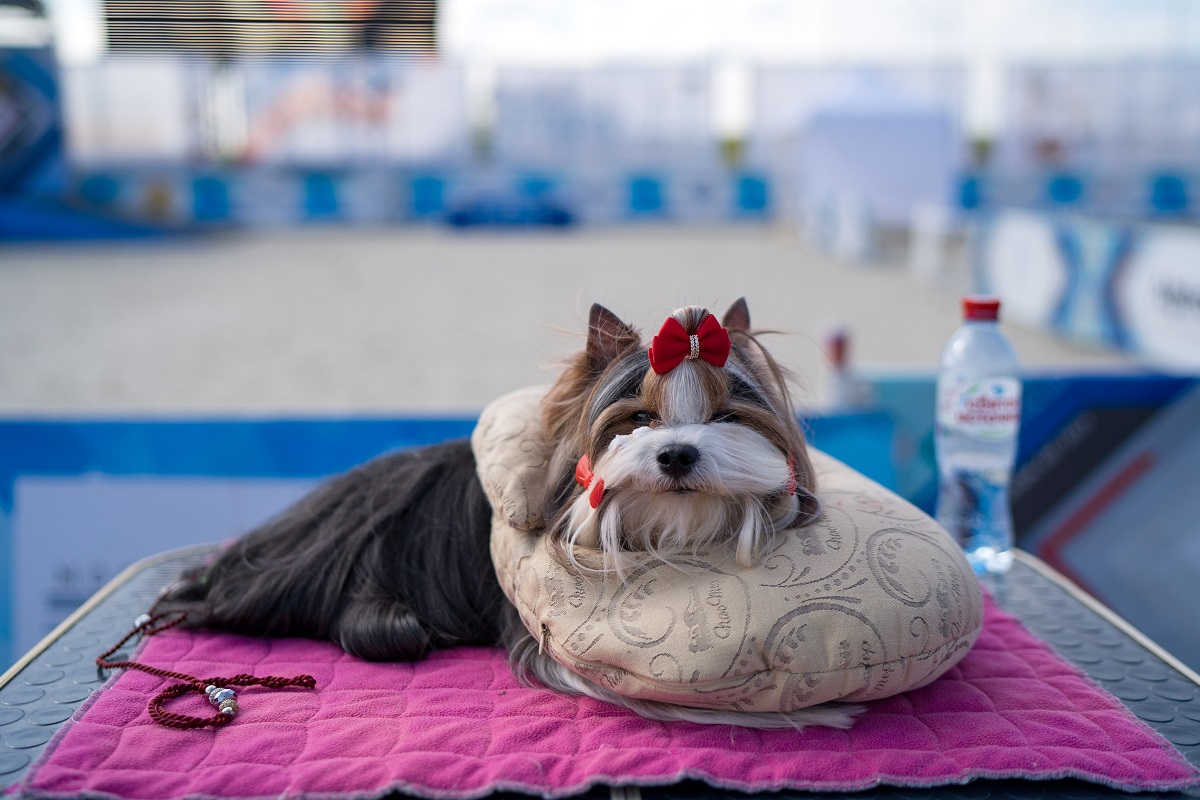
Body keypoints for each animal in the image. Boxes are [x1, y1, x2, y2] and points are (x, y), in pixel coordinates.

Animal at [162, 299, 864, 734]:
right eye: (638, 417)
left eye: (726, 417)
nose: (676, 454)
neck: (666, 524)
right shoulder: (556, 652)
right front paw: (818, 714)